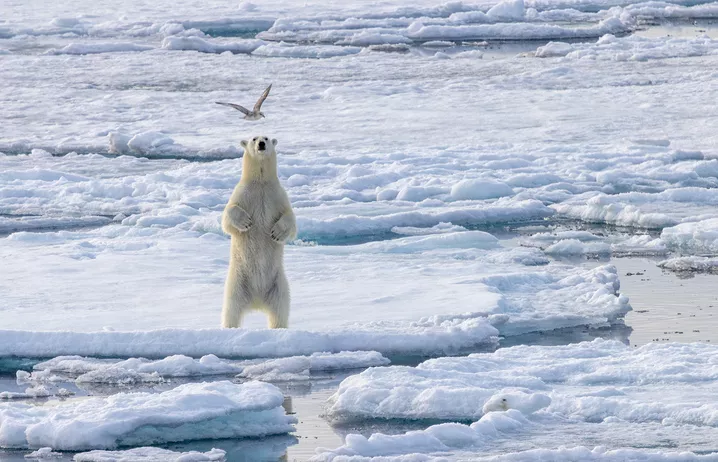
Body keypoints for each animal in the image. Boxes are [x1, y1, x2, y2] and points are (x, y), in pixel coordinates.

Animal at [221, 135, 297, 329]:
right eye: (254, 138)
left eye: (267, 138)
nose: (261, 144)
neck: (261, 183)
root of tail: (256, 301)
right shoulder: (242, 193)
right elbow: (228, 216)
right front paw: (246, 222)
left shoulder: (278, 196)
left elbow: (291, 219)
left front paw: (276, 233)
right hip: (237, 284)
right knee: (231, 311)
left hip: (278, 286)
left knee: (280, 311)